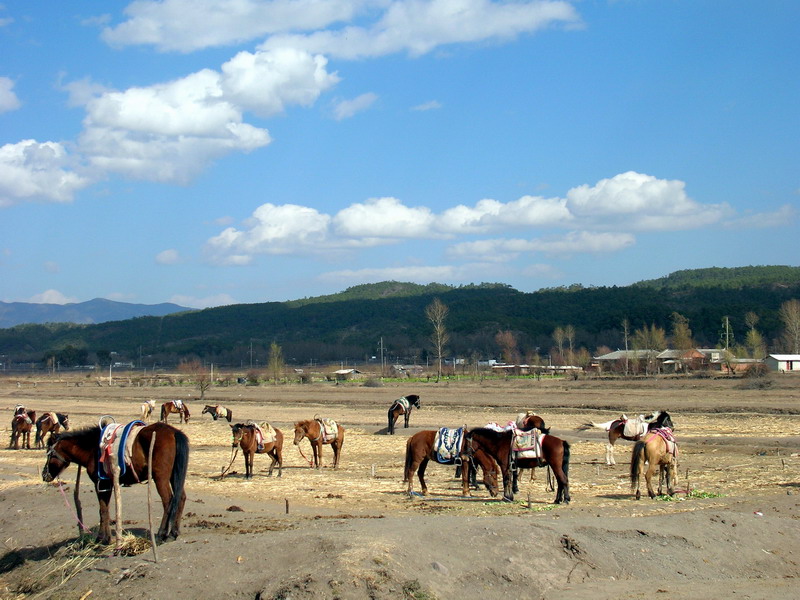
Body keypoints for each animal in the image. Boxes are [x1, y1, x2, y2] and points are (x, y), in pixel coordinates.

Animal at [41, 422, 189, 544]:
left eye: (49, 454)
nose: (44, 474)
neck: (93, 448)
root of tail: (173, 432)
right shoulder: (108, 485)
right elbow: (105, 509)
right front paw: (105, 537)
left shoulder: (100, 484)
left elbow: (102, 510)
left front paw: (101, 539)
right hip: (173, 475)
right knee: (180, 498)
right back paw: (173, 533)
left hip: (160, 477)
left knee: (168, 500)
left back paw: (161, 534)